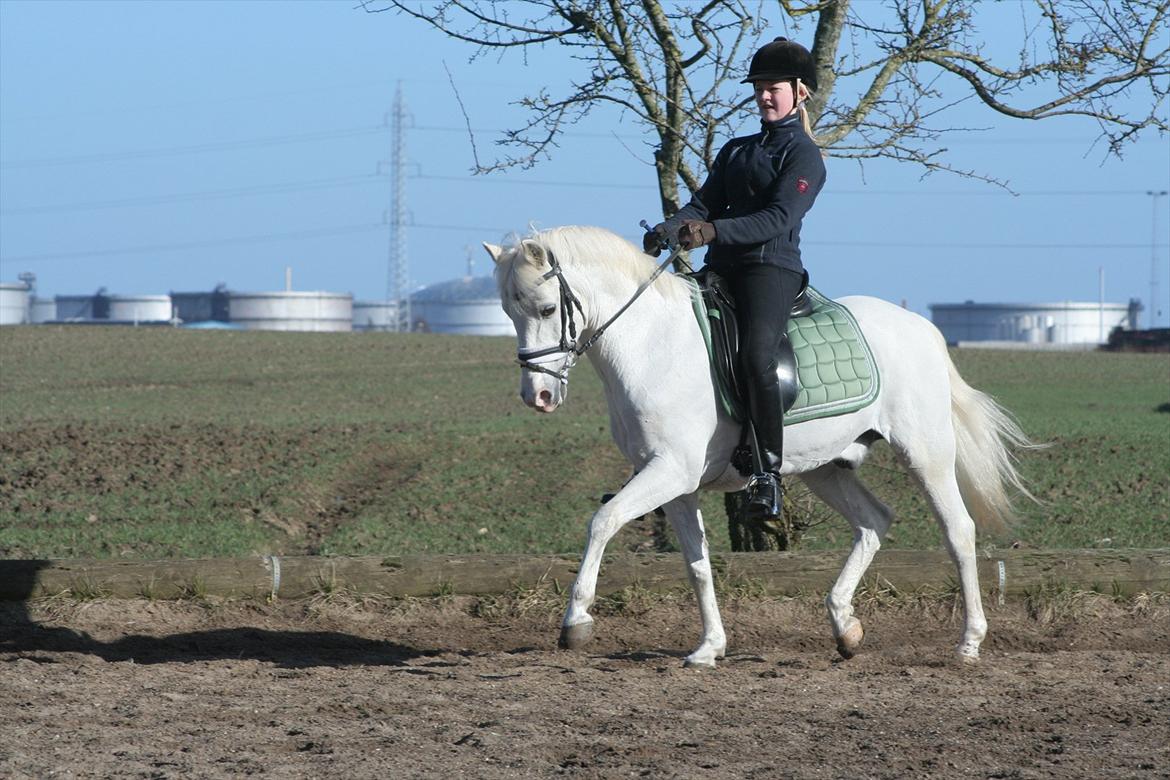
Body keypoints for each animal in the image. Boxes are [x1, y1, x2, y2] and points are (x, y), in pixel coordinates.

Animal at [484, 225, 1035, 668]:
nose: (537, 397)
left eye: (547, 308)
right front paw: (709, 647)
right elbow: (697, 564)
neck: (652, 346)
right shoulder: (675, 483)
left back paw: (968, 643)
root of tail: (922, 328)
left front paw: (575, 622)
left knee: (958, 532)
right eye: (508, 312)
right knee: (874, 521)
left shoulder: (669, 471)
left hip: (925, 453)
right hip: (824, 467)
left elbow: (603, 520)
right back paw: (845, 627)